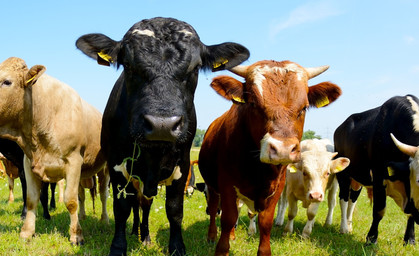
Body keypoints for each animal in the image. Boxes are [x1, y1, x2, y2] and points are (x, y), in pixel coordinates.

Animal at [0, 57, 110, 245]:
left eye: (7, 81)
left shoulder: (74, 161)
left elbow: (70, 200)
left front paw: (76, 235)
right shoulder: (28, 163)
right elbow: (31, 199)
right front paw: (27, 232)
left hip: (105, 168)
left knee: (103, 194)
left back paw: (105, 219)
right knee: (82, 195)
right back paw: (83, 216)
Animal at [75, 17, 249, 255]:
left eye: (195, 68)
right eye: (128, 66)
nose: (162, 125)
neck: (153, 154)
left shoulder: (182, 165)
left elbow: (174, 210)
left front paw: (176, 247)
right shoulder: (117, 166)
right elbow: (122, 208)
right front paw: (118, 246)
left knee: (145, 204)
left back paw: (145, 235)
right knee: (137, 204)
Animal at [199, 60, 342, 256]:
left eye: (304, 107)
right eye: (253, 103)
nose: (283, 149)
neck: (257, 168)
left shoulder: (277, 187)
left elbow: (265, 222)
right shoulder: (227, 185)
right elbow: (228, 219)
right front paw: (221, 249)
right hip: (212, 185)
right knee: (214, 209)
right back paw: (212, 236)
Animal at [334, 94, 419, 244]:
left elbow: (411, 214)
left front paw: (410, 240)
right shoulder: (379, 175)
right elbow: (379, 210)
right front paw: (371, 238)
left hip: (358, 178)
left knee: (352, 200)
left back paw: (349, 227)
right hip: (343, 174)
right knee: (343, 198)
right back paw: (343, 228)